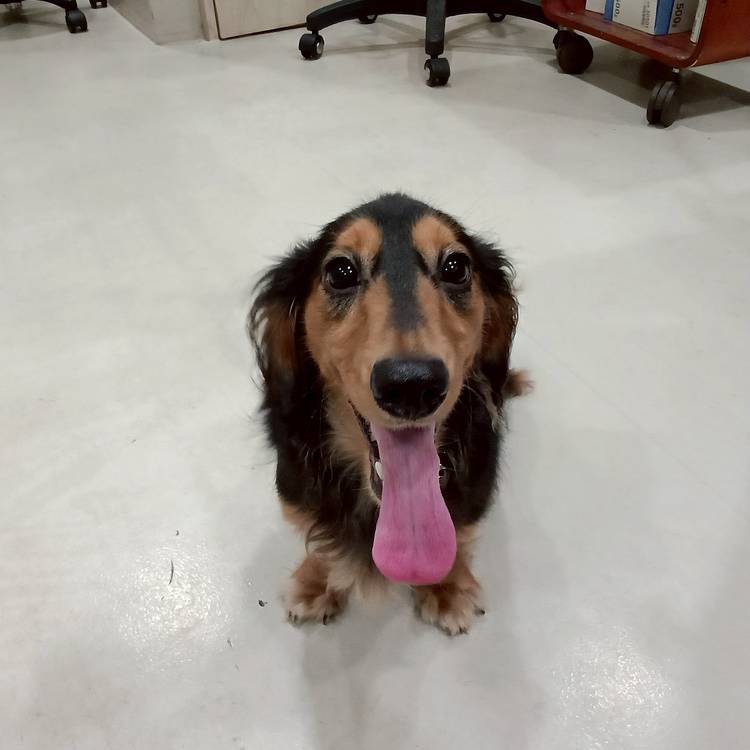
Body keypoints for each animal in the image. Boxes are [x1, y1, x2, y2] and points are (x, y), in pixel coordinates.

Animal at [248, 193, 528, 635]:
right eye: (340, 271)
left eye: (456, 267)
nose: (412, 385)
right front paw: (316, 581)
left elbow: (458, 536)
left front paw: (447, 587)